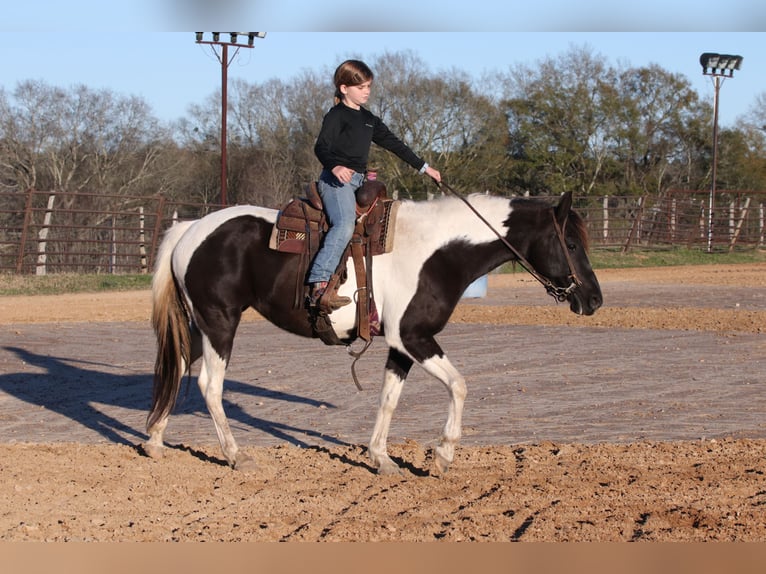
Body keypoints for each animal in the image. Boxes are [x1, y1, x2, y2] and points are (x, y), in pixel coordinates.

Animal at [147, 191, 604, 474]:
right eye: (572, 245)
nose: (595, 299)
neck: (434, 253)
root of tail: (191, 228)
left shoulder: (401, 346)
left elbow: (388, 400)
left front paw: (381, 458)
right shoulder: (414, 337)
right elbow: (459, 385)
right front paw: (443, 454)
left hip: (199, 326)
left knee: (178, 368)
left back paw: (154, 441)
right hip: (220, 322)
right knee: (209, 385)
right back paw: (235, 455)